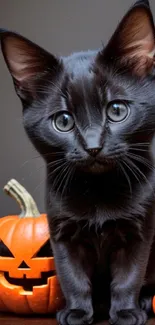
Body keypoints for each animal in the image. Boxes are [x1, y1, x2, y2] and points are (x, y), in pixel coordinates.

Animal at [0, 0, 155, 324]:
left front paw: (125, 311)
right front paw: (77, 311)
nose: (93, 146)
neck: (98, 191)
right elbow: (72, 276)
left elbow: (128, 276)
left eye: (117, 110)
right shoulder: (62, 232)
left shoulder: (140, 230)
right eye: (63, 121)